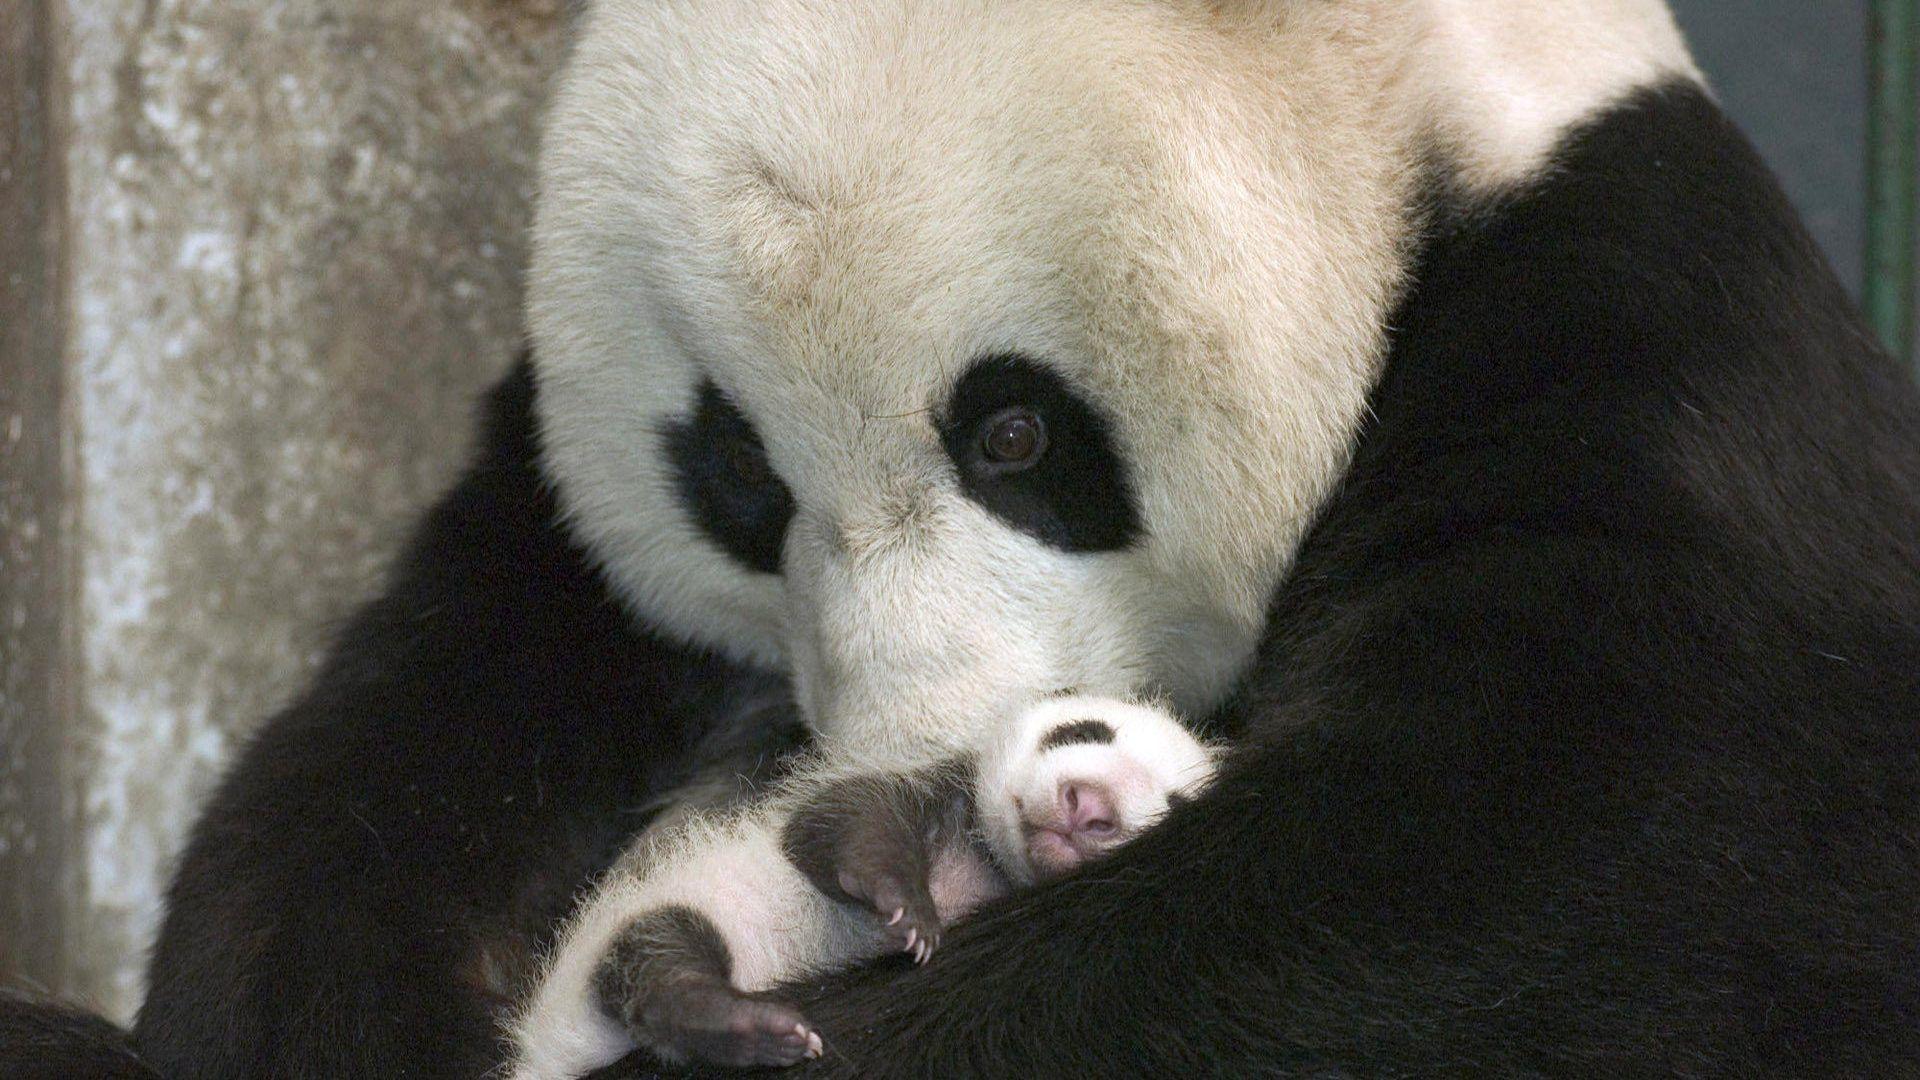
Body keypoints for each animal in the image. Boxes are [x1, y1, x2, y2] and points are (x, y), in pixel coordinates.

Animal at [9, 0, 1918, 1077]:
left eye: (1014, 433)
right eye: (736, 478)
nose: (921, 751)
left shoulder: (1644, 343)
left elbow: (1566, 879)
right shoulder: (547, 522)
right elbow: (384, 766)